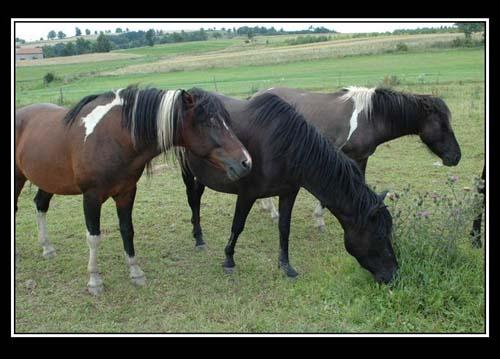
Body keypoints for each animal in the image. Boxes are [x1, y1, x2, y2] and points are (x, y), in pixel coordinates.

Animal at [14, 85, 252, 296]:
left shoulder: (126, 193)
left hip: (48, 180)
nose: (246, 162)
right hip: (19, 179)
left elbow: (127, 230)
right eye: (210, 121)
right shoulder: (91, 197)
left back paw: (47, 248)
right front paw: (95, 281)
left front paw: (136, 273)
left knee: (40, 205)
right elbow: (94, 237)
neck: (112, 137)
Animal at [182, 93, 396, 284]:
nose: (393, 275)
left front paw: (286, 266)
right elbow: (238, 226)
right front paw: (228, 260)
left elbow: (284, 228)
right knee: (193, 199)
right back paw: (199, 239)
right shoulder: (247, 194)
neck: (282, 146)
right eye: (379, 236)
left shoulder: (288, 192)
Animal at [254, 86, 460, 231]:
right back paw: (273, 211)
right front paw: (319, 219)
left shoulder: (362, 158)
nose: (456, 157)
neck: (369, 118)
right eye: (442, 125)